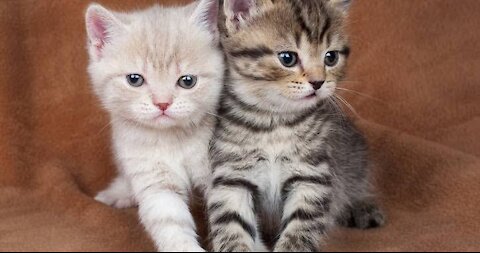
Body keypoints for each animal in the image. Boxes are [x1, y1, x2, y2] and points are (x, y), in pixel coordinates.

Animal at [85, 0, 223, 251]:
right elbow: (170, 223)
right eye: (134, 79)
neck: (172, 139)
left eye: (187, 81)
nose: (162, 103)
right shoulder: (155, 183)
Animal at [208, 0, 384, 250]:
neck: (274, 122)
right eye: (287, 58)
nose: (318, 82)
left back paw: (360, 206)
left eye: (331, 57)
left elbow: (300, 230)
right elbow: (232, 225)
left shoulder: (311, 176)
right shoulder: (232, 176)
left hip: (355, 154)